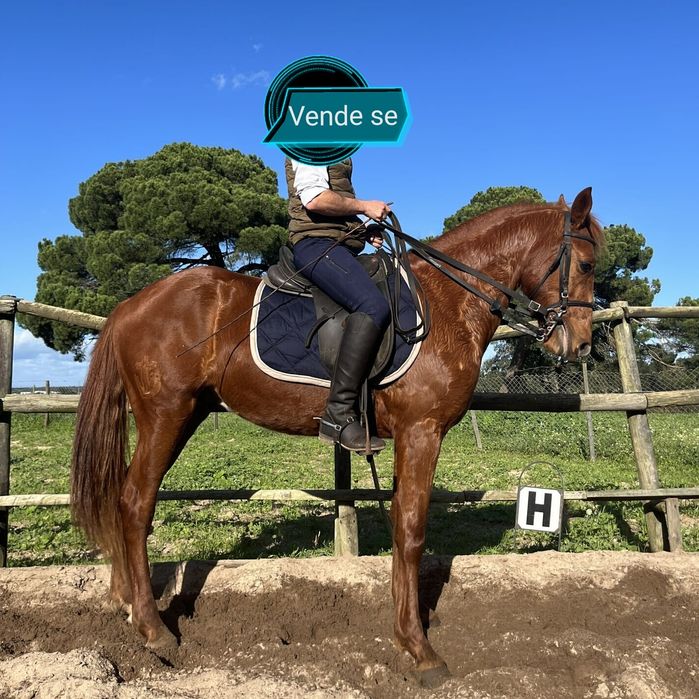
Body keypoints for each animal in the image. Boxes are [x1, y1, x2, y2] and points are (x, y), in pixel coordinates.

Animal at [70, 187, 603, 684]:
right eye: (587, 262)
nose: (579, 344)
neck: (448, 301)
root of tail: (132, 304)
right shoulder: (421, 432)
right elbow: (411, 531)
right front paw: (419, 648)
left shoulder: (411, 436)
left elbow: (401, 526)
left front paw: (406, 629)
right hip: (166, 416)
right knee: (135, 502)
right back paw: (153, 628)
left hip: (183, 415)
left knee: (124, 497)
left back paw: (127, 600)